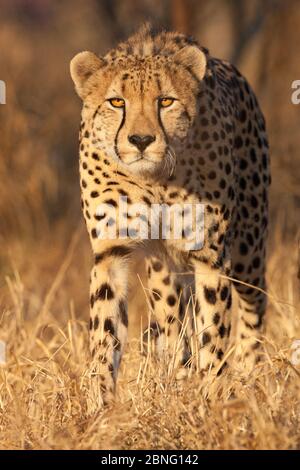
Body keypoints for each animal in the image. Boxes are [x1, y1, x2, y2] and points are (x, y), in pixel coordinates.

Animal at [70, 23, 270, 406]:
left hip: (248, 250)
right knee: (174, 323)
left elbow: (215, 328)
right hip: (165, 271)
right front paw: (100, 402)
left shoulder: (211, 254)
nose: (141, 140)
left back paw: (251, 374)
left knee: (255, 304)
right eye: (117, 102)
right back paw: (178, 376)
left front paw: (212, 396)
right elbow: (105, 329)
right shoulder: (111, 251)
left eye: (166, 101)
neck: (155, 179)